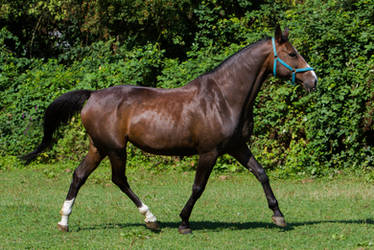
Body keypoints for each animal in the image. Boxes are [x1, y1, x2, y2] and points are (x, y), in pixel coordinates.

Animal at [21, 26, 318, 233]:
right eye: (292, 53)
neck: (224, 97)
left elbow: (261, 173)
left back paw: (64, 222)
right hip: (115, 148)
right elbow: (198, 187)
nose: (313, 80)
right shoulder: (209, 152)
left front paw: (278, 215)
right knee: (119, 180)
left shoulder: (237, 147)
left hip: (99, 147)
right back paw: (150, 219)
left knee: (79, 176)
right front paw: (184, 222)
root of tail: (92, 95)